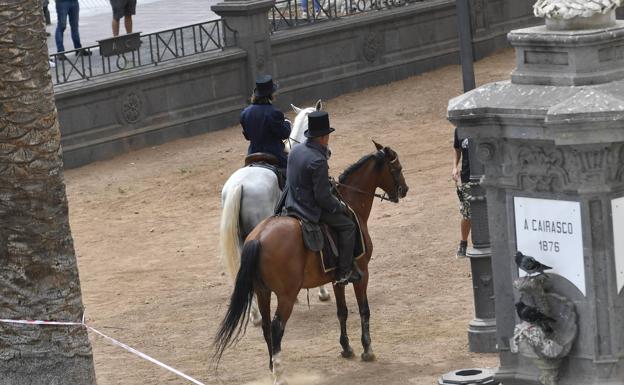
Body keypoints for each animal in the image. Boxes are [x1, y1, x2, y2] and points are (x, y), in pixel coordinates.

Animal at [214, 141, 410, 384]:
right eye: (397, 168)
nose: (404, 189)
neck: (350, 203)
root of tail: (258, 238)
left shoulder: (338, 277)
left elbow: (342, 311)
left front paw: (346, 348)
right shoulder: (362, 273)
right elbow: (364, 310)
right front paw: (367, 350)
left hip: (262, 291)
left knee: (267, 326)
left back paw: (271, 364)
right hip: (285, 296)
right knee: (277, 327)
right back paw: (279, 373)